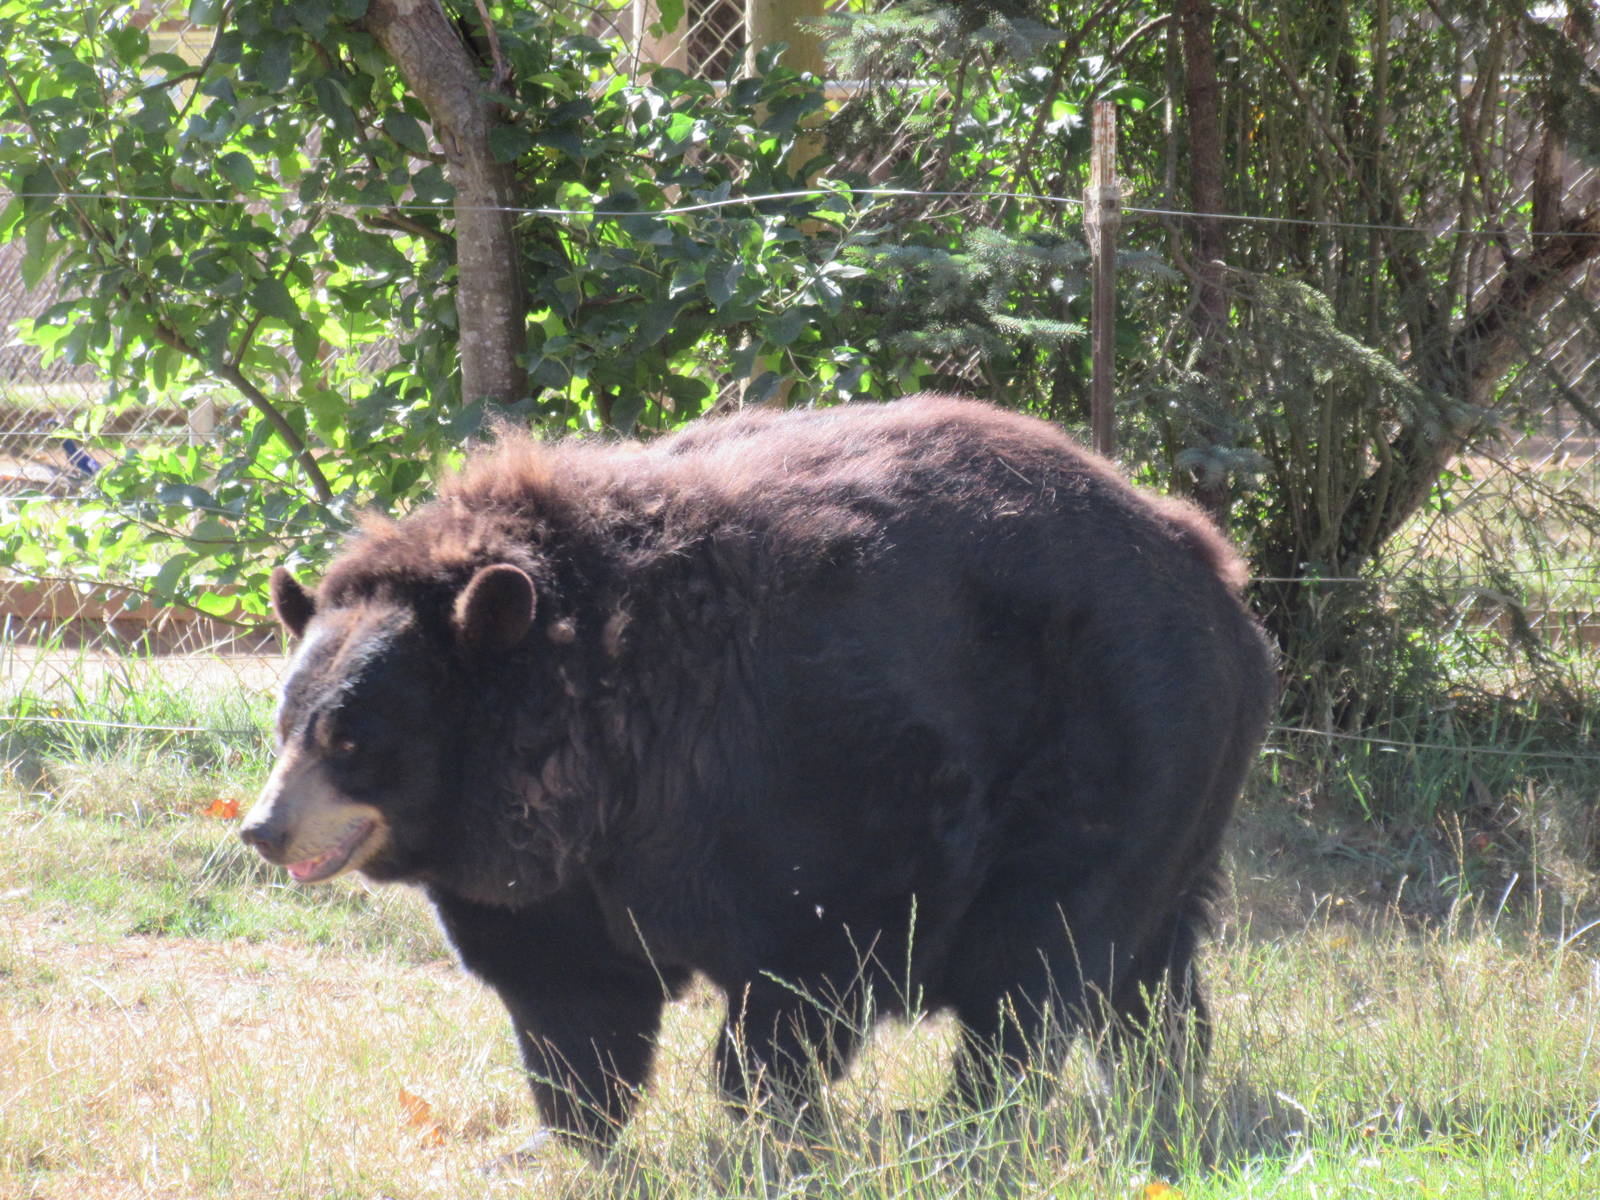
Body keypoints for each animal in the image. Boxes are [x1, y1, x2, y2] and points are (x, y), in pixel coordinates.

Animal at [241, 395, 1276, 1149]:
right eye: (286, 723)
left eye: (350, 738)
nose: (262, 829)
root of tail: (1214, 569)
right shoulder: (562, 875)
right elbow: (572, 996)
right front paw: (568, 1132)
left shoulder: (798, 777)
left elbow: (808, 962)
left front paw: (769, 1119)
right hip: (1179, 793)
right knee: (1153, 963)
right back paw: (1165, 1082)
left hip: (1118, 735)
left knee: (1037, 957)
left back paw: (969, 1119)